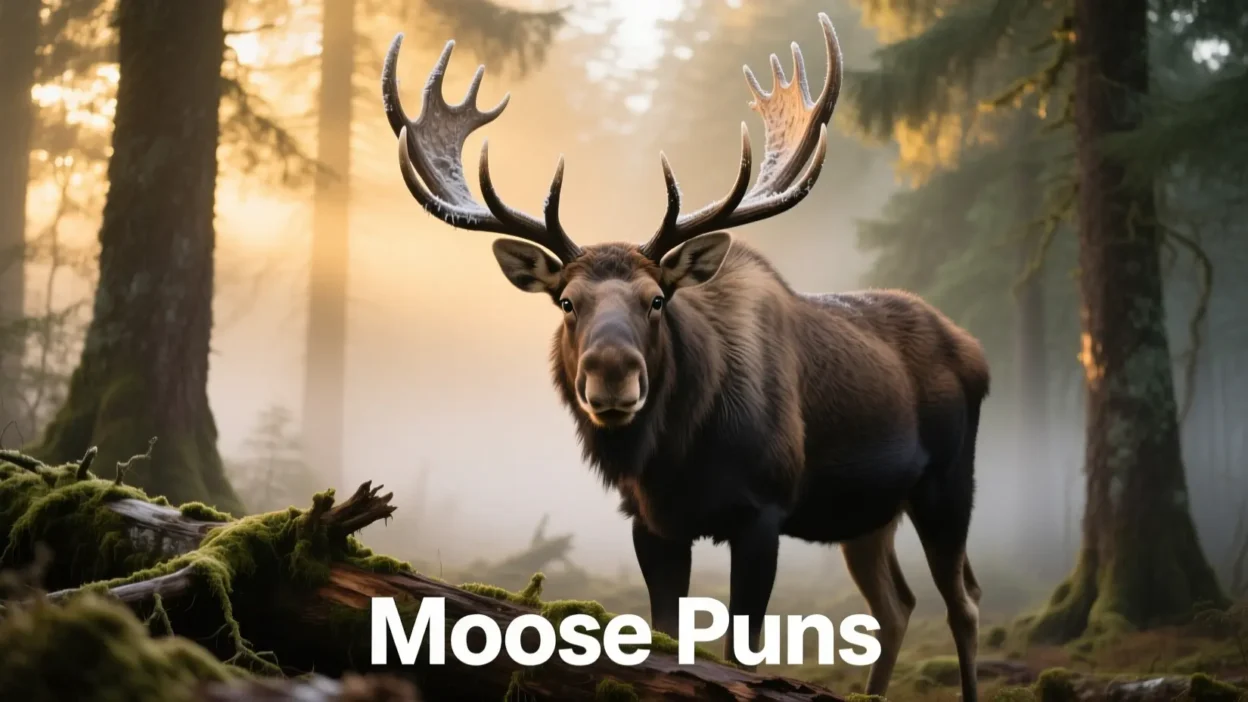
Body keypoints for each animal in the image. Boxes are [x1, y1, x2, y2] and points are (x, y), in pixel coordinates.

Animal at [380, 14, 989, 701]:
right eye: (566, 301)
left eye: (656, 299)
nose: (611, 373)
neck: (680, 453)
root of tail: (975, 350)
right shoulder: (651, 520)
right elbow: (665, 635)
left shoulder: (763, 509)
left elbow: (742, 652)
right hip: (867, 514)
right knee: (895, 605)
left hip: (948, 482)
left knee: (962, 603)